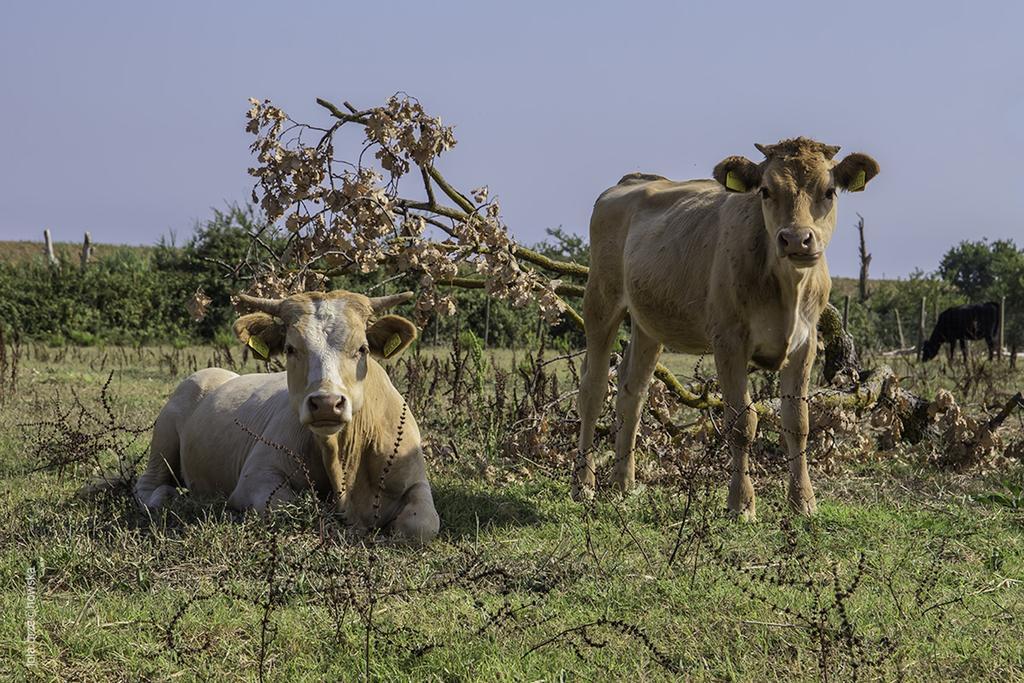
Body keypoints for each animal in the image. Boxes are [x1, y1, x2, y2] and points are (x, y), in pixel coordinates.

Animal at [135, 288, 440, 544]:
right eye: (291, 348)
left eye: (362, 349)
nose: (327, 403)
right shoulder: (256, 476)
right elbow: (289, 506)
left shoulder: (416, 479)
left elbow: (422, 524)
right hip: (163, 440)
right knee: (147, 487)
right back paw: (170, 495)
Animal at [577, 140, 880, 524]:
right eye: (765, 190)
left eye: (828, 191)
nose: (796, 239)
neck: (787, 287)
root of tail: (634, 179)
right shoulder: (729, 341)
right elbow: (742, 423)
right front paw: (741, 503)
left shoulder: (806, 342)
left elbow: (798, 422)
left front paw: (803, 501)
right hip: (600, 298)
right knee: (593, 390)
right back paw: (583, 484)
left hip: (649, 322)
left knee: (632, 393)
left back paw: (623, 484)